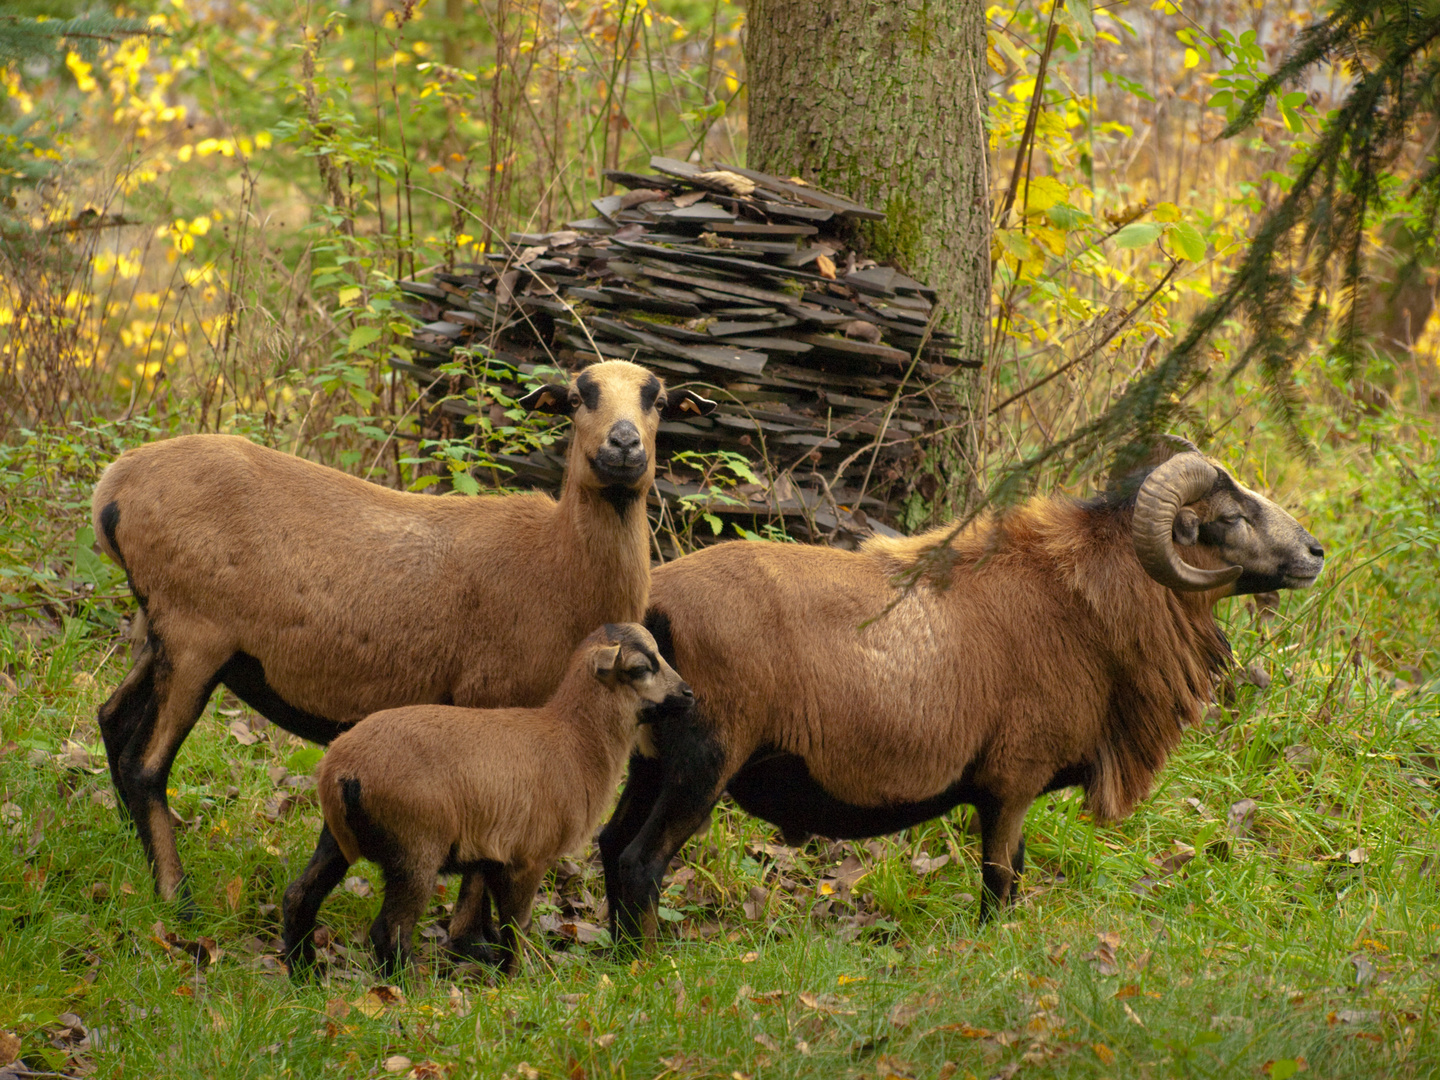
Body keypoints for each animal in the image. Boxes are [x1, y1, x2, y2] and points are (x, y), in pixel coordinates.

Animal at [90, 361, 714, 904]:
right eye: (580, 395)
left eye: (658, 400)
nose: (624, 445)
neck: (558, 561)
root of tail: (113, 488)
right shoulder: (491, 701)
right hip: (195, 634)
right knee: (145, 765)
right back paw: (176, 897)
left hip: (162, 631)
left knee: (111, 720)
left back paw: (124, 854)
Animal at [279, 622, 691, 979]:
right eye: (640, 668)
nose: (688, 695)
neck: (573, 740)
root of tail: (341, 769)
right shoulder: (530, 857)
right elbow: (518, 924)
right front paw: (514, 982)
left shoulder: (496, 858)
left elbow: (503, 924)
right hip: (416, 849)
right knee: (389, 930)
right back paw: (407, 991)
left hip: (336, 837)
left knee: (298, 896)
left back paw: (304, 977)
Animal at [596, 440, 1324, 938]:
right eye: (1230, 517)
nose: (1316, 553)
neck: (1080, 605)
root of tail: (654, 609)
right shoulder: (1012, 780)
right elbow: (1001, 878)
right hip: (704, 760)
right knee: (639, 862)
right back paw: (652, 963)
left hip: (651, 760)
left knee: (608, 846)